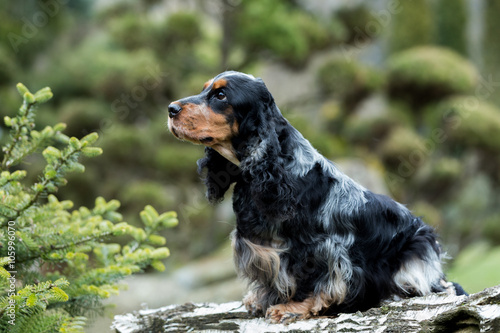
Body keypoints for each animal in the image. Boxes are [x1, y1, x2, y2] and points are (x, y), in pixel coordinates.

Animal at [166, 70, 466, 322]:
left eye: (221, 96)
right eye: (204, 89)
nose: (170, 109)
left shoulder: (326, 249)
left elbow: (318, 281)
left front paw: (293, 306)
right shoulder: (261, 248)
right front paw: (262, 299)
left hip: (416, 249)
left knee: (439, 286)